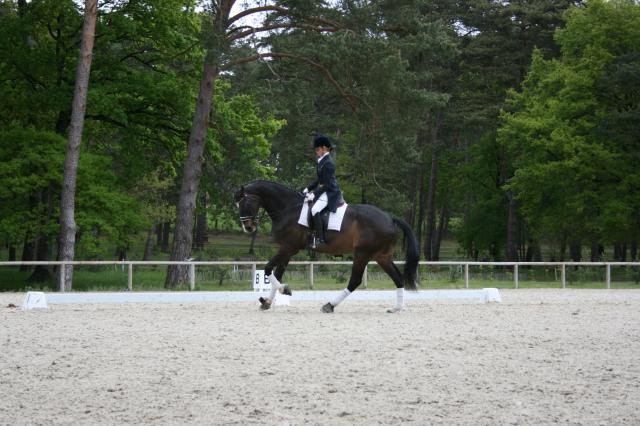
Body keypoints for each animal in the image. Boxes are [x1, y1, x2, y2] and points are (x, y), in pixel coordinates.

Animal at [234, 180, 420, 313]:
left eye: (246, 203)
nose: (248, 227)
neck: (288, 208)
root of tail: (389, 217)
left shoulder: (289, 247)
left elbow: (268, 269)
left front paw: (285, 290)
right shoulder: (287, 249)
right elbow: (277, 274)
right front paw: (267, 301)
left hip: (362, 254)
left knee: (355, 280)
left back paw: (330, 305)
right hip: (381, 256)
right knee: (398, 278)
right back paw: (397, 308)